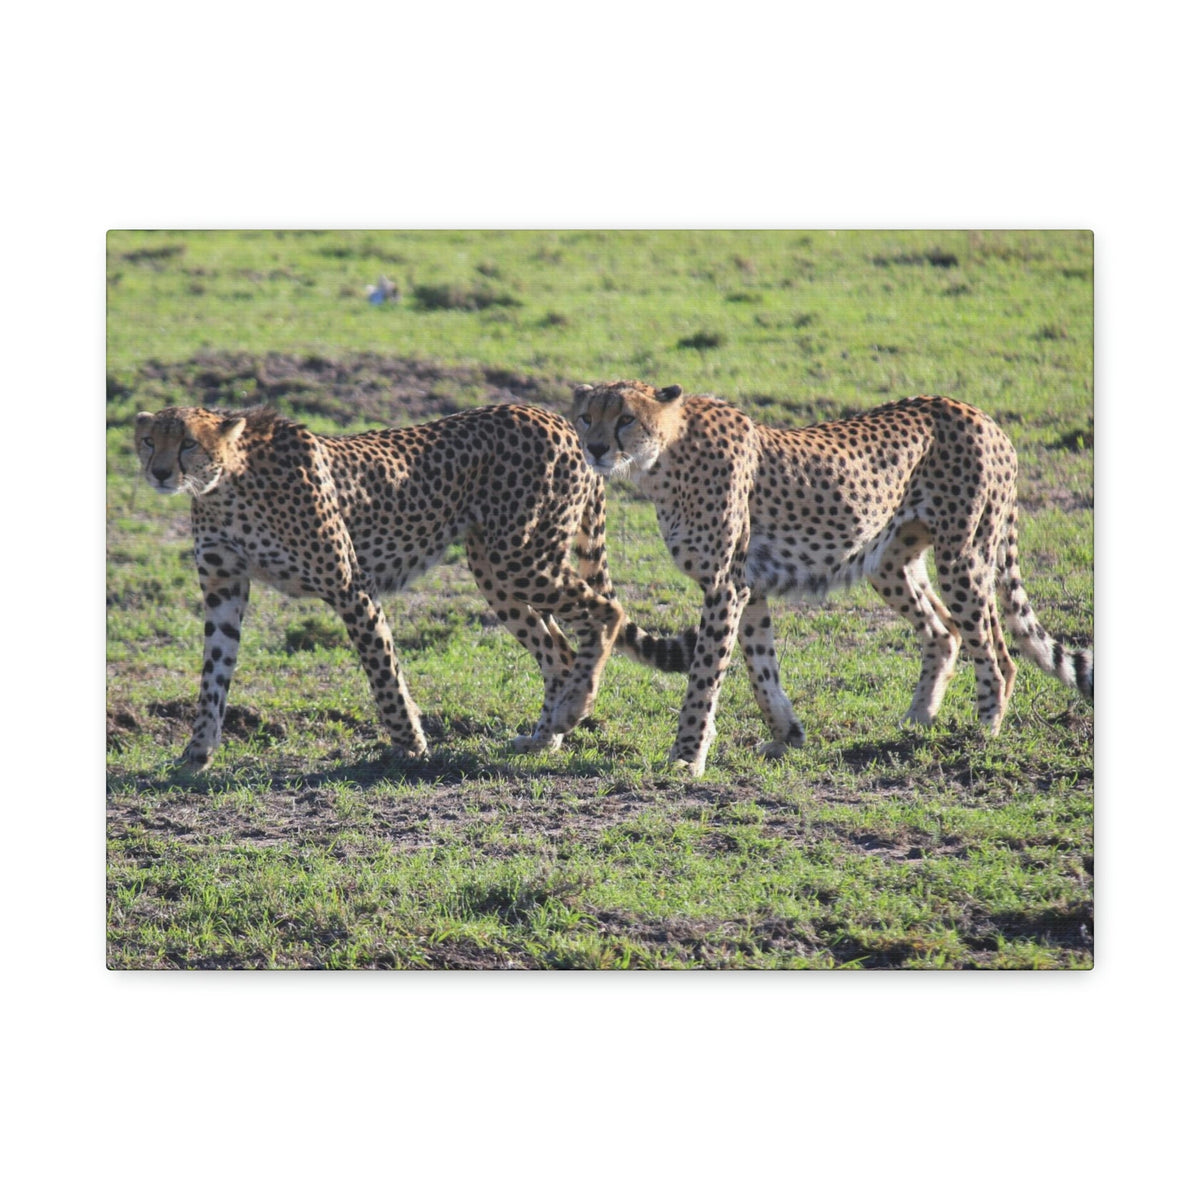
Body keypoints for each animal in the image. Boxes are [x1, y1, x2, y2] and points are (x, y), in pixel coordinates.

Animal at [134, 403, 694, 770]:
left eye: (188, 443)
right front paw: (196, 753)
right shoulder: (223, 590)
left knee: (604, 613)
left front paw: (410, 746)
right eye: (149, 441)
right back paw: (544, 737)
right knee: (558, 649)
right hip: (495, 568)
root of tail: (558, 418)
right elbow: (213, 676)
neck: (225, 484)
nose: (159, 472)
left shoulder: (350, 586)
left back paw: (574, 710)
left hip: (519, 558)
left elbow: (382, 670)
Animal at [572, 380, 1094, 777]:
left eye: (625, 418)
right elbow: (761, 668)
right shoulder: (749, 586)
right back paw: (917, 721)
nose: (595, 448)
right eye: (585, 417)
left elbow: (705, 675)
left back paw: (983, 732)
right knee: (944, 630)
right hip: (887, 560)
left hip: (964, 556)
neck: (662, 459)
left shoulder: (725, 586)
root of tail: (981, 415)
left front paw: (687, 755)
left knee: (996, 651)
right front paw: (786, 736)